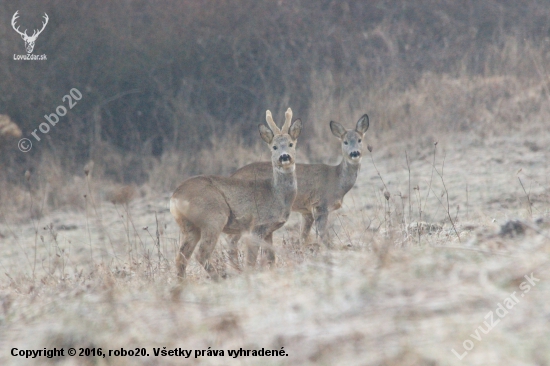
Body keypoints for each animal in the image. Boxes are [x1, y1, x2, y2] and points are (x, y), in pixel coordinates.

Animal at [170, 107, 304, 278]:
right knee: (201, 253)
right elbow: (251, 260)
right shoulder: (256, 225)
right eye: (274, 147)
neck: (277, 195)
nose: (284, 156)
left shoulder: (268, 230)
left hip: (189, 227)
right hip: (213, 217)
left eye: (291, 144)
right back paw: (219, 278)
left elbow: (271, 258)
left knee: (181, 257)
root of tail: (175, 197)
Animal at [231, 113, 368, 249]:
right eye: (345, 142)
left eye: (359, 140)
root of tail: (233, 174)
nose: (354, 153)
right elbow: (323, 236)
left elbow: (303, 237)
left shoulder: (306, 210)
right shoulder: (320, 205)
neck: (336, 180)